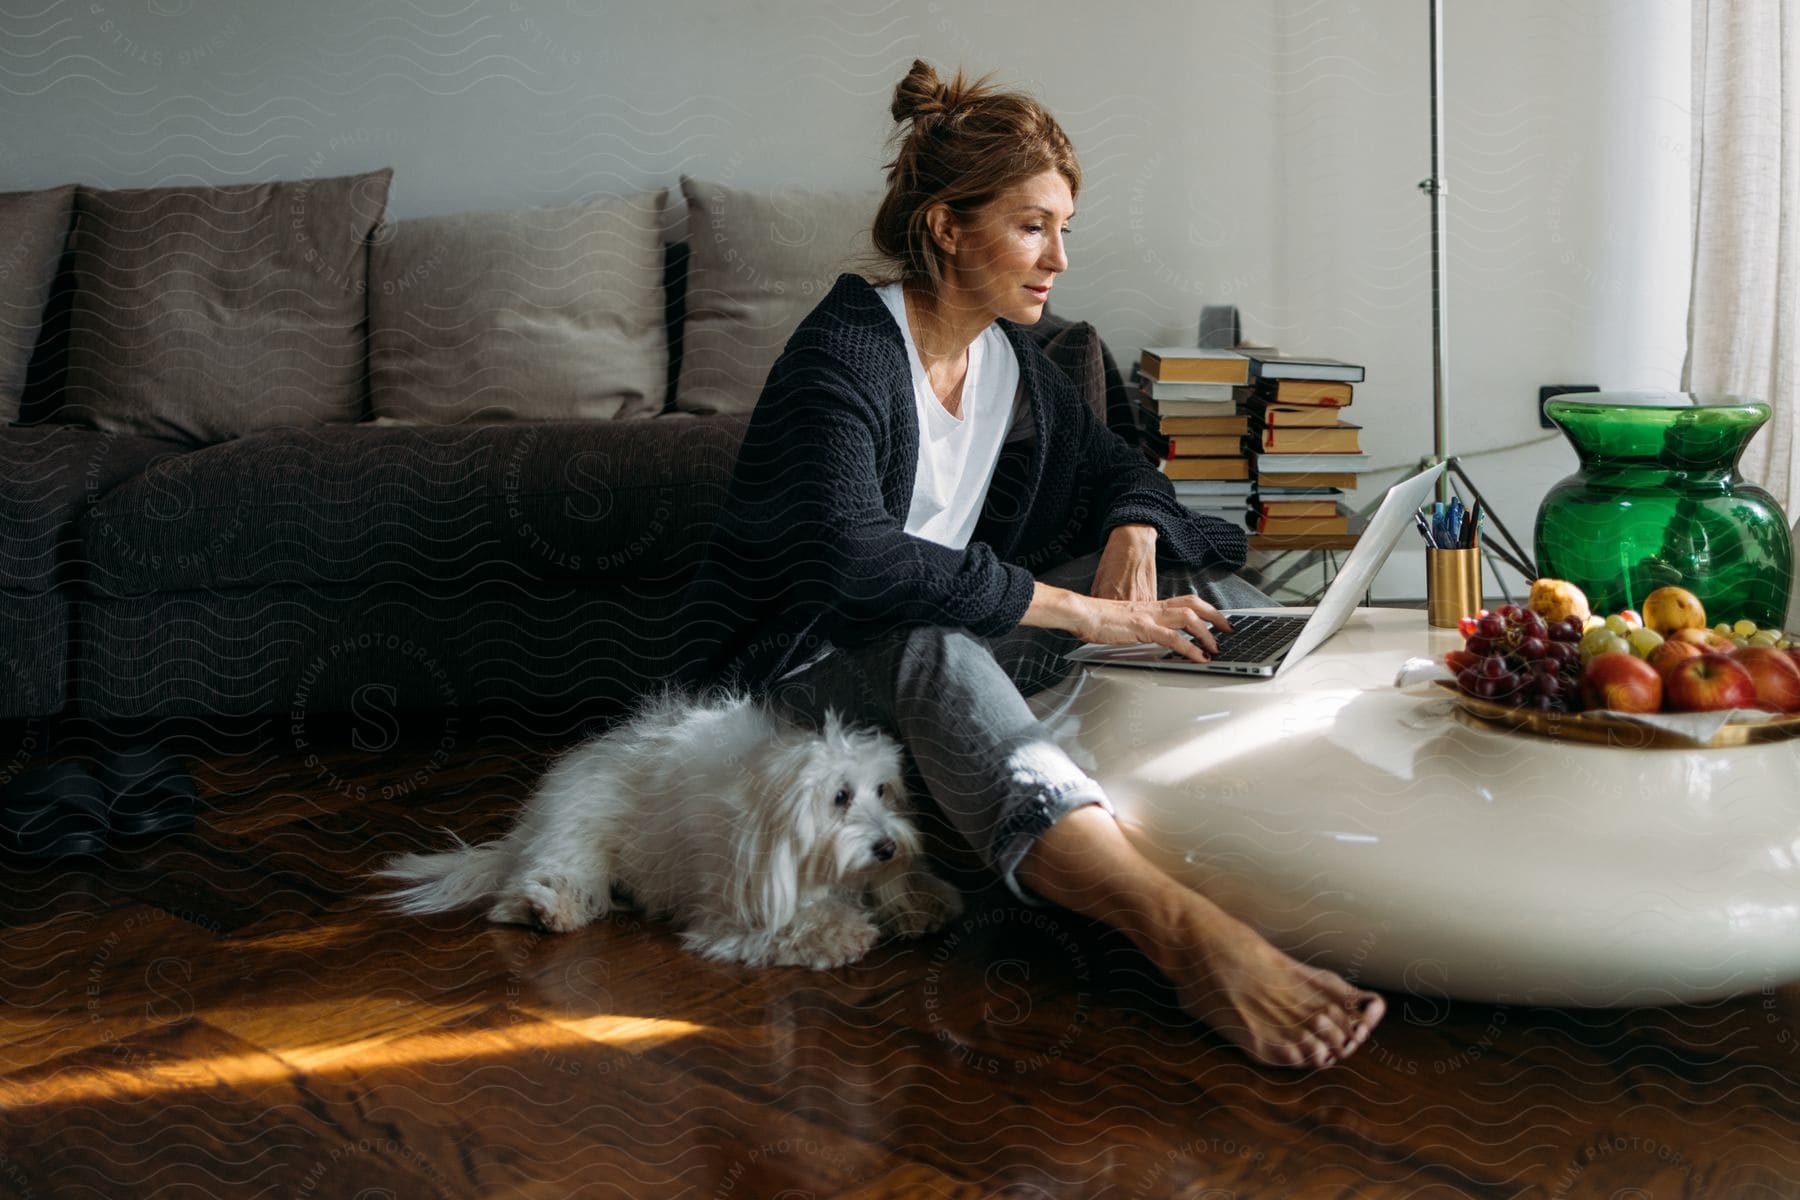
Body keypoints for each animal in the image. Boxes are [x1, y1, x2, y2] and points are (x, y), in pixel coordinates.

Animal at [379, 690, 964, 971]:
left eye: (884, 790)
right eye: (840, 797)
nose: (886, 846)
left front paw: (920, 900)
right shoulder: (733, 910)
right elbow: (792, 923)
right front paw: (841, 932)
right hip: (578, 839)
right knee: (543, 882)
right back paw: (547, 910)